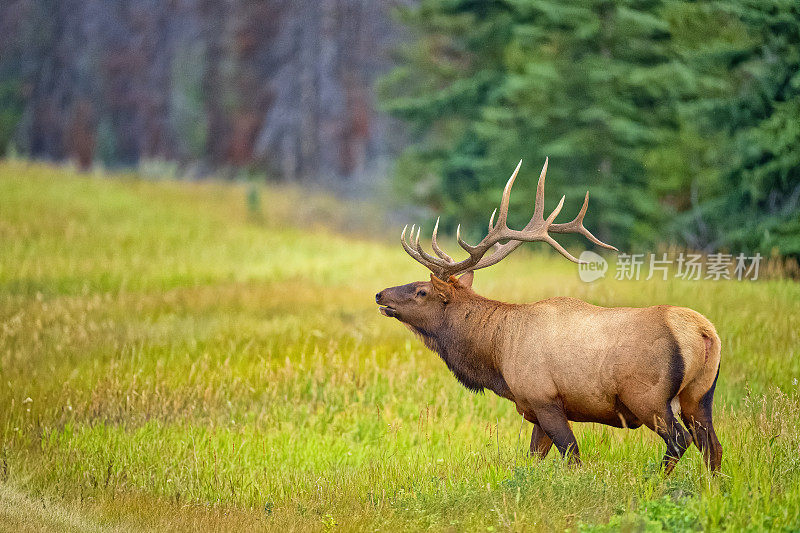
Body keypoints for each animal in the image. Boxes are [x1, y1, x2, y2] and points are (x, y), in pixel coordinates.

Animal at [378, 159, 720, 474]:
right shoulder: (535, 408)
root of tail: (703, 331)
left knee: (680, 440)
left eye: (422, 291)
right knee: (712, 447)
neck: (497, 353)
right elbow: (534, 457)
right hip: (699, 397)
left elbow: (572, 457)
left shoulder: (545, 398)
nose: (380, 295)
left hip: (648, 397)